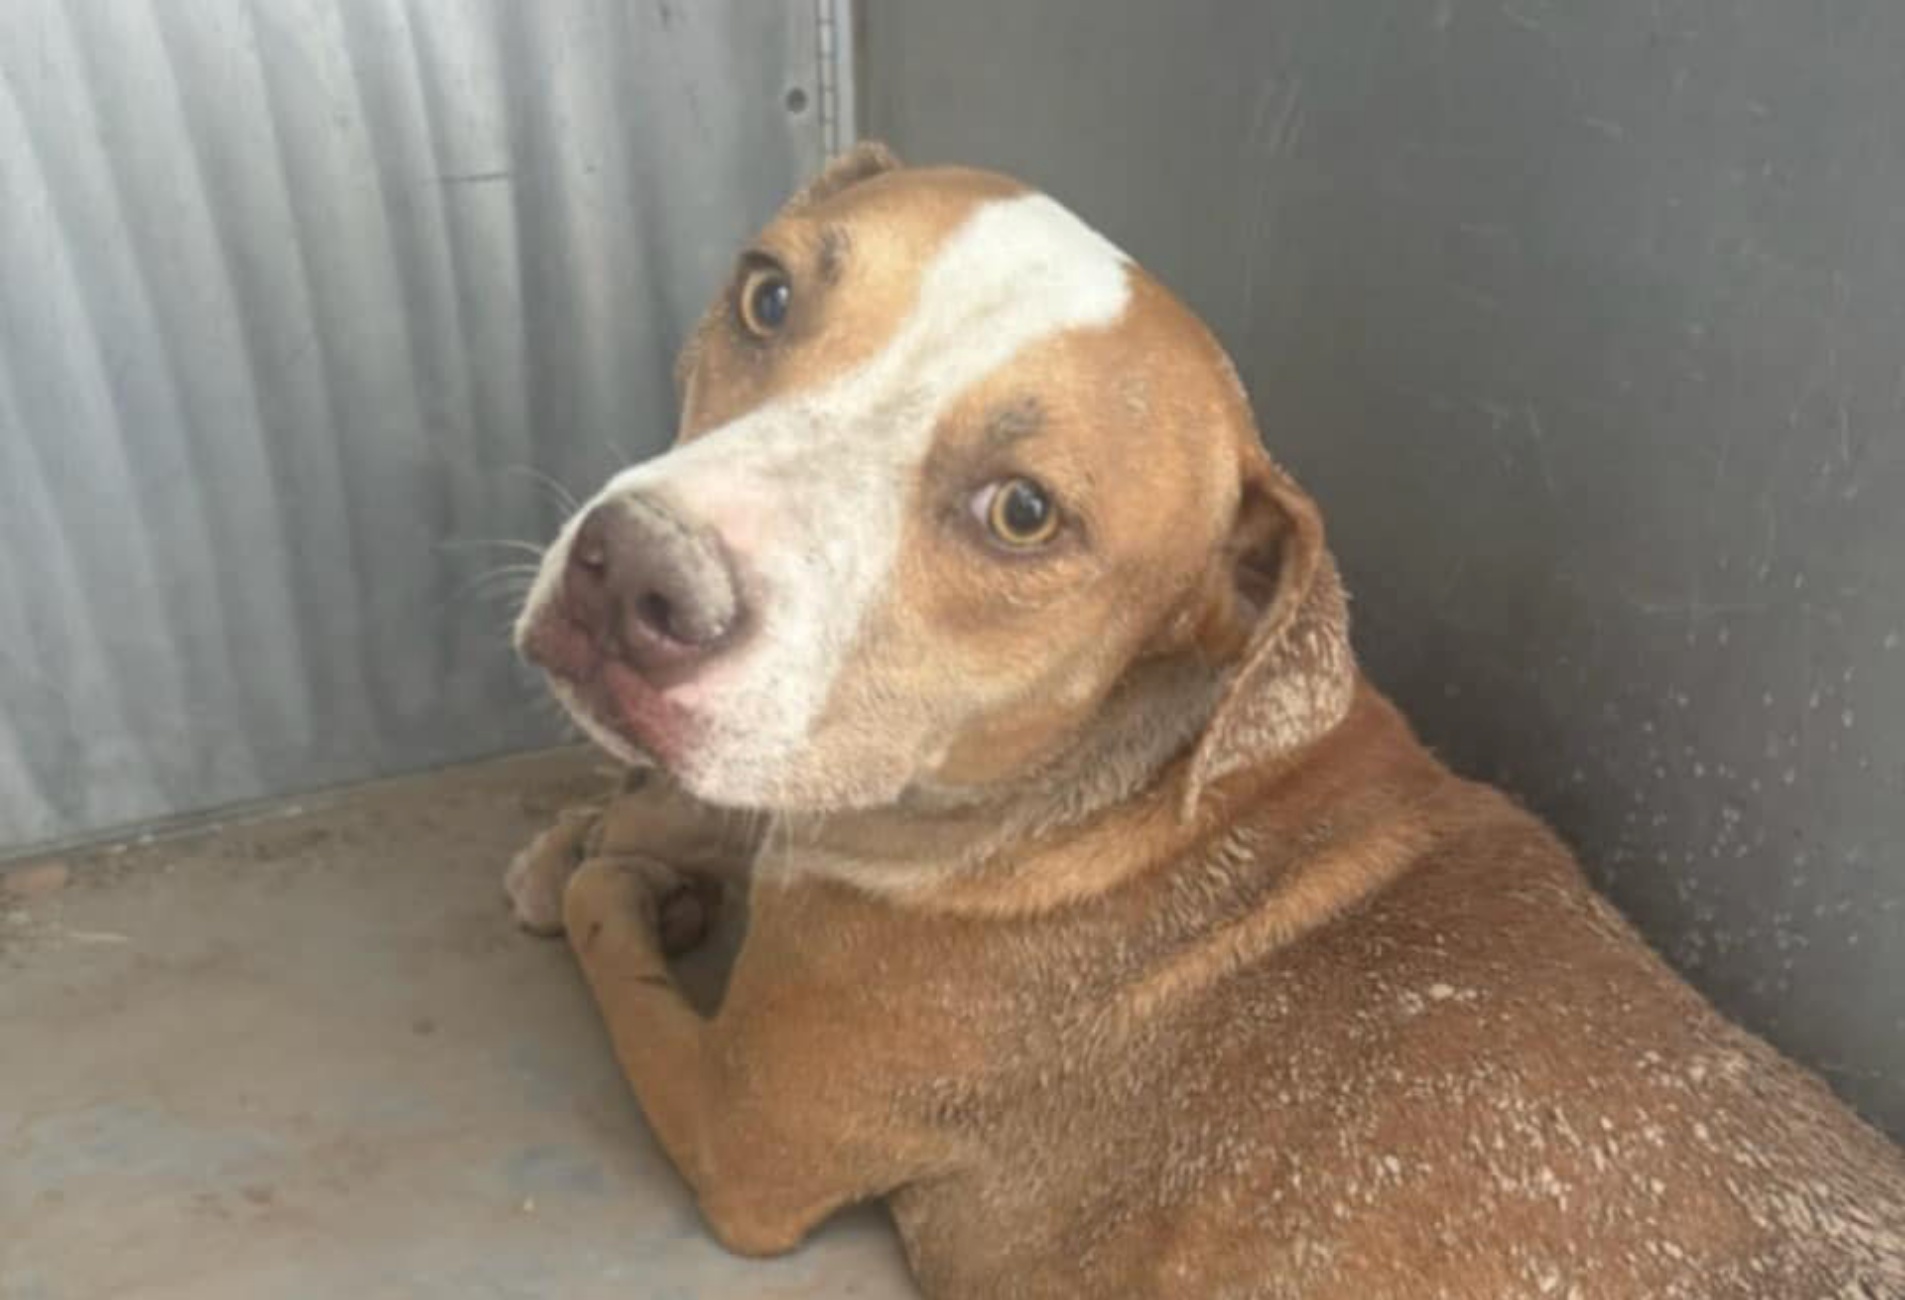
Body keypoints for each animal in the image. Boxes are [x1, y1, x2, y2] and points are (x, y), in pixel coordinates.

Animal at [506, 143, 1905, 1296]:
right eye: (768, 296)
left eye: (1023, 513)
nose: (632, 575)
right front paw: (611, 829)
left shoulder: (741, 1132)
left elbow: (613, 930)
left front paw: (614, 872)